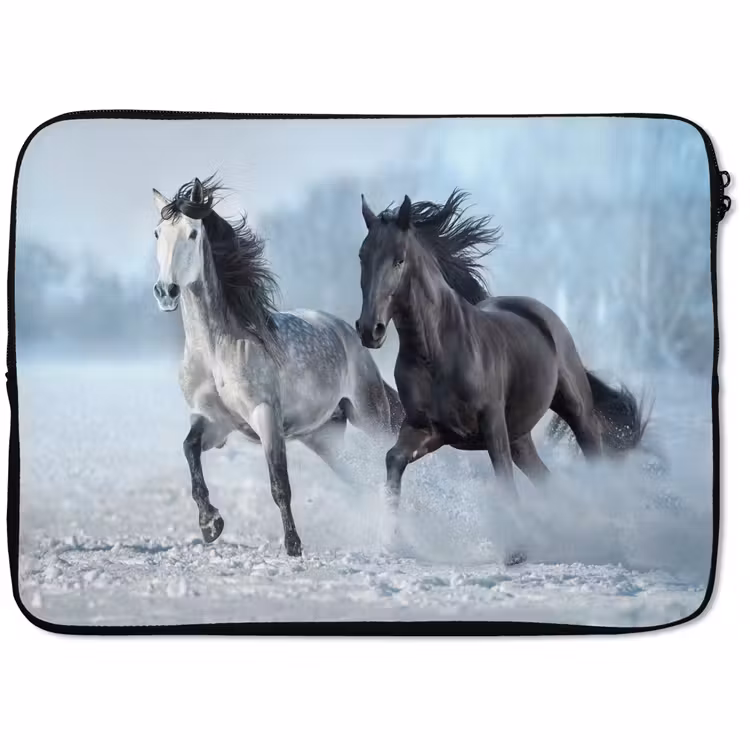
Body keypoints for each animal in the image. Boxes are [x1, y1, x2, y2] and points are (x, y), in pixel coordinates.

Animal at [152, 176, 403, 556]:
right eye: (158, 233)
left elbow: (279, 483)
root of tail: (347, 330)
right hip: (323, 437)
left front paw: (293, 545)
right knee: (361, 480)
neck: (215, 351)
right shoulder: (214, 422)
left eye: (193, 234)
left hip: (370, 415)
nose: (165, 291)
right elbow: (189, 451)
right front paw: (211, 524)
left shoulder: (266, 415)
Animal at [355, 190, 647, 559]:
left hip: (574, 409)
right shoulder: (429, 429)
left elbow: (504, 479)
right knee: (545, 478)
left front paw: (516, 551)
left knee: (592, 456)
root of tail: (540, 313)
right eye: (362, 256)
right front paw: (393, 540)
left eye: (399, 260)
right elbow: (393, 459)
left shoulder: (491, 424)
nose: (370, 330)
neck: (436, 352)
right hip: (520, 435)